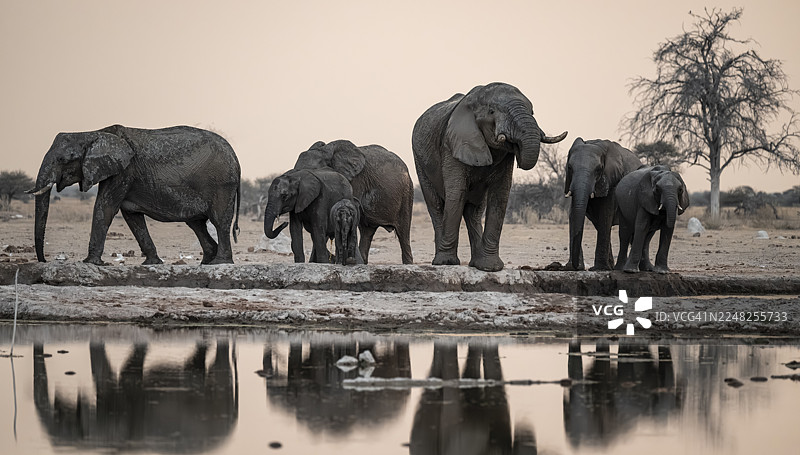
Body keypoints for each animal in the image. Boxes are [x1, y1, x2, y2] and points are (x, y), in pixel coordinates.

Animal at [27, 125, 241, 265]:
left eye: (64, 159)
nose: (44, 261)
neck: (93, 132)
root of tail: (235, 158)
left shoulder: (124, 171)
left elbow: (105, 207)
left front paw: (89, 262)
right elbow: (132, 216)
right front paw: (152, 264)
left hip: (222, 184)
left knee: (219, 222)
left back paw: (219, 263)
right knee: (197, 224)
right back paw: (206, 262)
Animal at [412, 82, 567, 272]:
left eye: (532, 111)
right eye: (492, 111)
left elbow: (500, 196)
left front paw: (491, 268)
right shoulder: (452, 144)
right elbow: (456, 193)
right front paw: (447, 263)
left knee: (474, 211)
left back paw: (476, 264)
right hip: (419, 161)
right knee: (435, 205)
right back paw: (441, 261)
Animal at [563, 138, 643, 271]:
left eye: (598, 169)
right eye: (569, 167)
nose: (576, 266)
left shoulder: (612, 181)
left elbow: (605, 213)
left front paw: (599, 268)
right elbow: (573, 212)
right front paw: (573, 268)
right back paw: (612, 266)